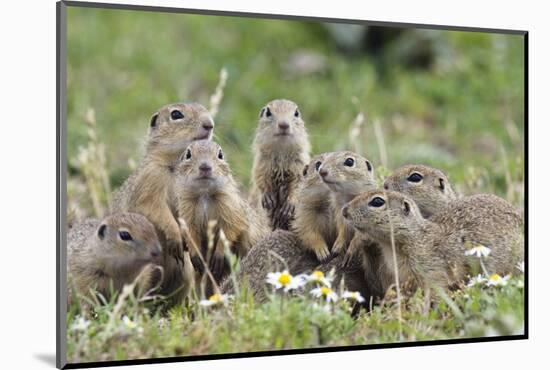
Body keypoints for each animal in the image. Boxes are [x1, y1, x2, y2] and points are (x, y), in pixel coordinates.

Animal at [177, 140, 270, 284]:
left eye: (220, 154)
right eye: (188, 154)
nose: (205, 167)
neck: (205, 194)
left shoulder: (230, 209)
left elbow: (229, 230)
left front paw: (218, 256)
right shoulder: (186, 213)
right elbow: (190, 233)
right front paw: (197, 257)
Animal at [252, 98, 312, 231]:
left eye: (296, 113)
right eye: (268, 112)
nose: (283, 124)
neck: (281, 152)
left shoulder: (300, 167)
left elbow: (299, 185)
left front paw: (289, 206)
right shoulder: (260, 164)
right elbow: (260, 179)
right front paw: (268, 198)